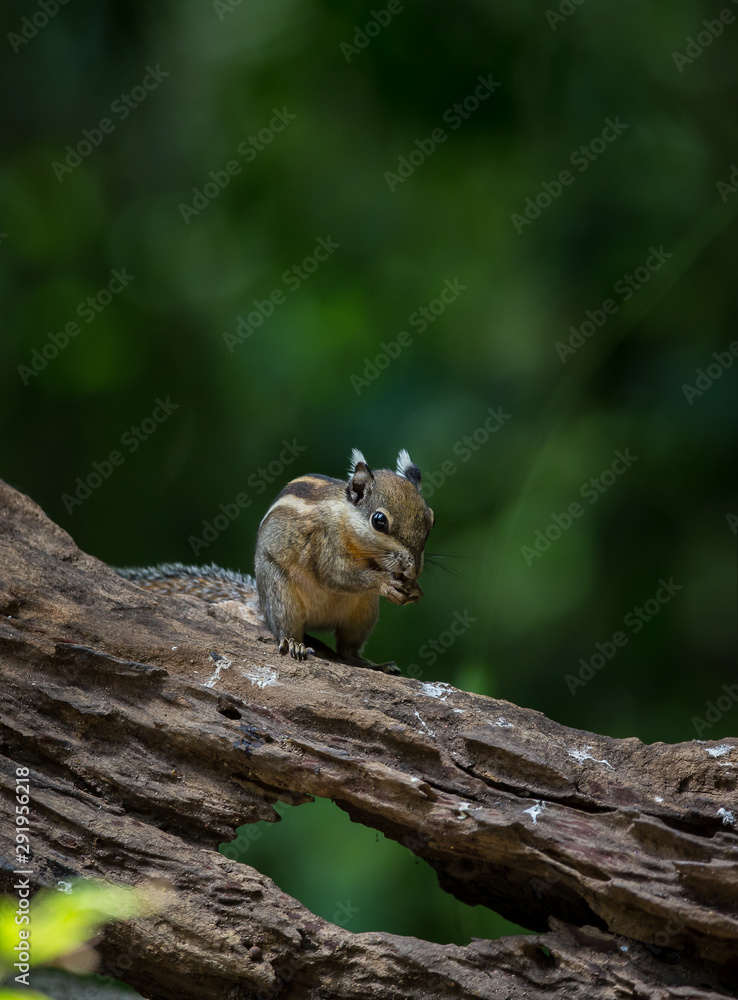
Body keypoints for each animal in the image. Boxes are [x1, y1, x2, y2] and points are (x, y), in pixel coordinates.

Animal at [116, 449, 434, 674]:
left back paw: (373, 664)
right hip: (281, 595)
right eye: (379, 521)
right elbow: (337, 575)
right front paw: (385, 582)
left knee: (347, 650)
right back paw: (295, 645)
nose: (413, 567)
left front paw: (414, 588)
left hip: (363, 612)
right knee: (285, 628)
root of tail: (261, 603)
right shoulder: (324, 543)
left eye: (430, 519)